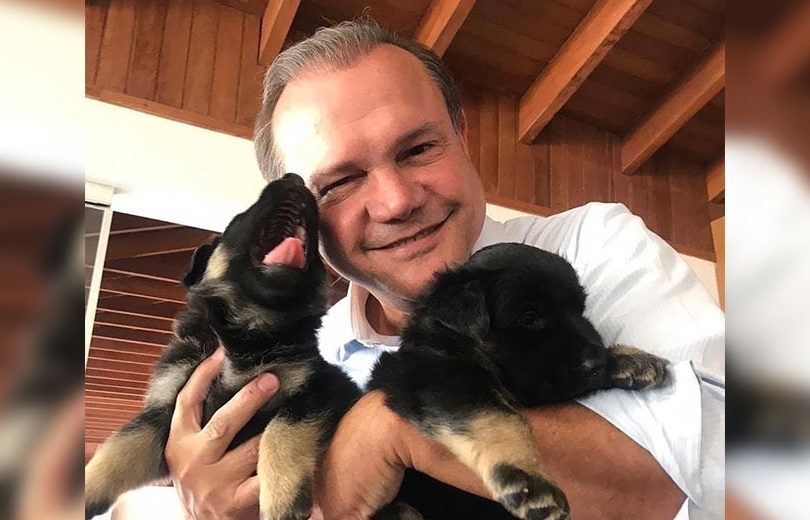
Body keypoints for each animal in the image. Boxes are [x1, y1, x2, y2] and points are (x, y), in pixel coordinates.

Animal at [84, 173, 361, 520]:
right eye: (240, 217)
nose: (295, 178)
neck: (251, 329)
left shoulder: (321, 386)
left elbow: (281, 430)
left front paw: (283, 499)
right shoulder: (164, 409)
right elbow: (119, 448)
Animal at [369, 243, 670, 520]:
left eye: (580, 309)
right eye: (529, 317)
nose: (596, 363)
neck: (456, 342)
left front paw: (626, 359)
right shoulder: (436, 378)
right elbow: (498, 418)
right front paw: (530, 479)